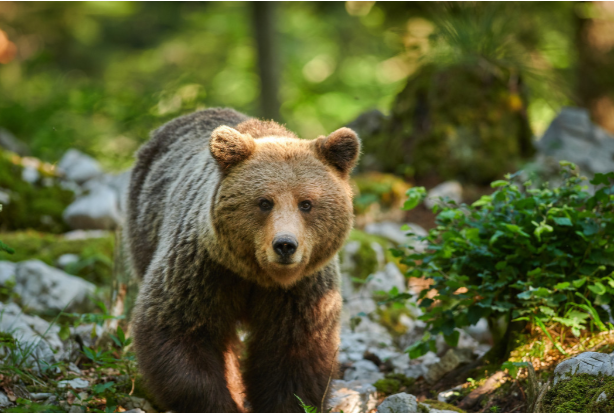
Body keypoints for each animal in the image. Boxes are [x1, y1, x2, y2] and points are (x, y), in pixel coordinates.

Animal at [126, 108, 360, 412]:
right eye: (264, 202)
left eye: (306, 203)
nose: (285, 245)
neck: (258, 276)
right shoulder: (204, 270)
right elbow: (177, 330)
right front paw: (221, 403)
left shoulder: (303, 290)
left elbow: (295, 353)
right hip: (144, 229)